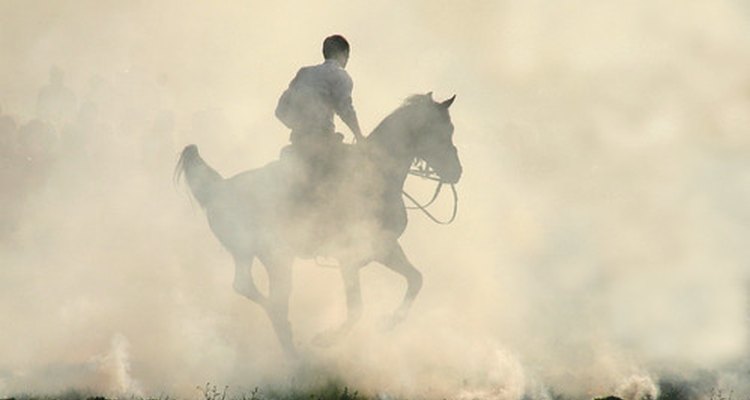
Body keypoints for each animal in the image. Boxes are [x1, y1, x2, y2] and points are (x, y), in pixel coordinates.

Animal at [178, 93, 458, 356]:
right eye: (444, 131)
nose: (458, 171)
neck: (378, 172)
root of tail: (218, 189)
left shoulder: (384, 247)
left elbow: (416, 279)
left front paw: (388, 323)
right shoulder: (350, 256)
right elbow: (356, 307)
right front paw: (327, 339)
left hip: (253, 255)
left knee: (249, 288)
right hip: (276, 257)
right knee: (273, 300)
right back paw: (294, 352)